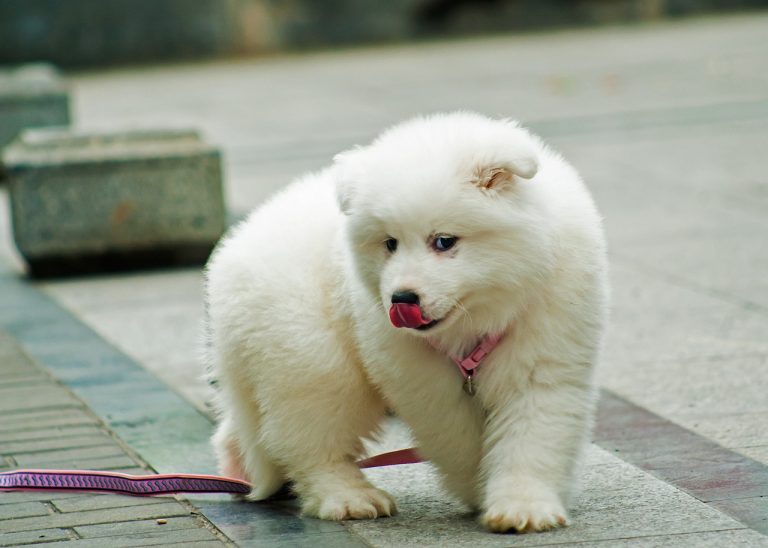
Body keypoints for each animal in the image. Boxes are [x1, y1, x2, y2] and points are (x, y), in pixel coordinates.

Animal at [204, 109, 608, 532]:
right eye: (390, 243)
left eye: (444, 241)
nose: (401, 299)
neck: (479, 317)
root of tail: (233, 249)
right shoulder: (419, 377)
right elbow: (457, 436)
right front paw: (476, 488)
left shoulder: (544, 354)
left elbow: (533, 434)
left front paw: (523, 506)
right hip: (312, 358)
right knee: (309, 437)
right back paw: (349, 496)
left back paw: (240, 471)